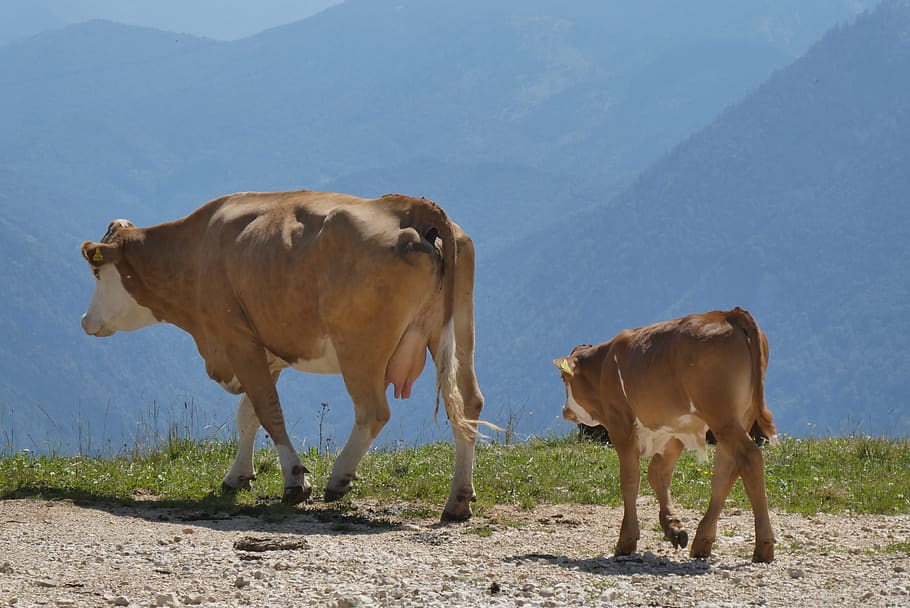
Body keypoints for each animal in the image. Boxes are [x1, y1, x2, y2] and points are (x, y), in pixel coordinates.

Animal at [80, 190, 485, 521]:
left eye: (97, 271)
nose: (85, 321)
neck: (196, 251)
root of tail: (410, 207)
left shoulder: (237, 339)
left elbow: (268, 410)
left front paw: (294, 481)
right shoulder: (262, 349)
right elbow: (248, 415)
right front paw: (238, 476)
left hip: (360, 348)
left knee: (373, 411)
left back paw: (339, 478)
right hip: (458, 333)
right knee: (468, 404)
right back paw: (458, 500)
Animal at [553, 307, 778, 563]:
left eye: (563, 378)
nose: (565, 411)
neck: (604, 366)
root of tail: (728, 313)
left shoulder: (621, 425)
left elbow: (630, 479)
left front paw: (626, 540)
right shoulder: (674, 429)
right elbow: (657, 473)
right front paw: (673, 527)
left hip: (723, 416)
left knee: (750, 458)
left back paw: (763, 545)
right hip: (740, 417)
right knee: (726, 471)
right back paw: (702, 541)